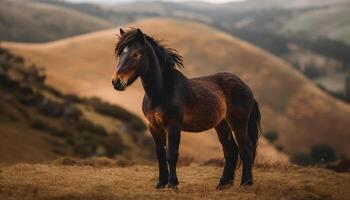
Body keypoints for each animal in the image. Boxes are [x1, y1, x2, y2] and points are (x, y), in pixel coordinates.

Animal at [110, 27, 262, 190]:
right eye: (120, 54)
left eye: (135, 54)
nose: (117, 82)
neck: (161, 92)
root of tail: (246, 87)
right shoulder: (153, 127)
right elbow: (160, 155)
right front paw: (161, 183)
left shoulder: (173, 125)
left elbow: (171, 154)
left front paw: (173, 184)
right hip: (222, 124)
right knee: (231, 150)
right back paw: (223, 184)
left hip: (238, 123)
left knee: (246, 148)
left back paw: (246, 183)